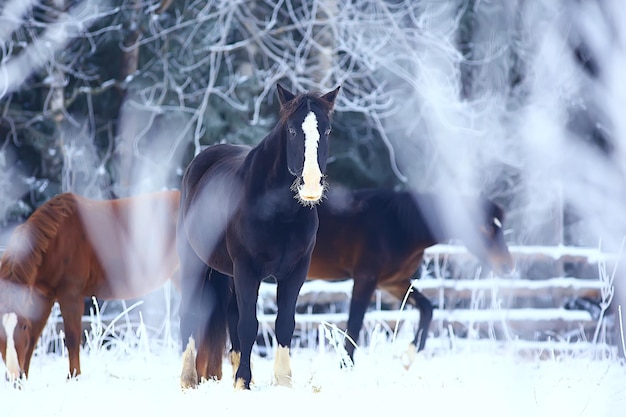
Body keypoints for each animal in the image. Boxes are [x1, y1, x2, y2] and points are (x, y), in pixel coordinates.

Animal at [0, 190, 180, 378]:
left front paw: (74, 376)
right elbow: (34, 336)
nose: (13, 374)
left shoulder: (71, 295)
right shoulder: (43, 297)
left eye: (22, 326)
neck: (57, 240)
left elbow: (72, 338)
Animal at [306, 187, 512, 366]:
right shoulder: (365, 278)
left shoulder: (392, 282)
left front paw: (413, 349)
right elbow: (355, 324)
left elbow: (427, 308)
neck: (397, 227)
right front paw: (346, 366)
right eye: (484, 227)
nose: (507, 266)